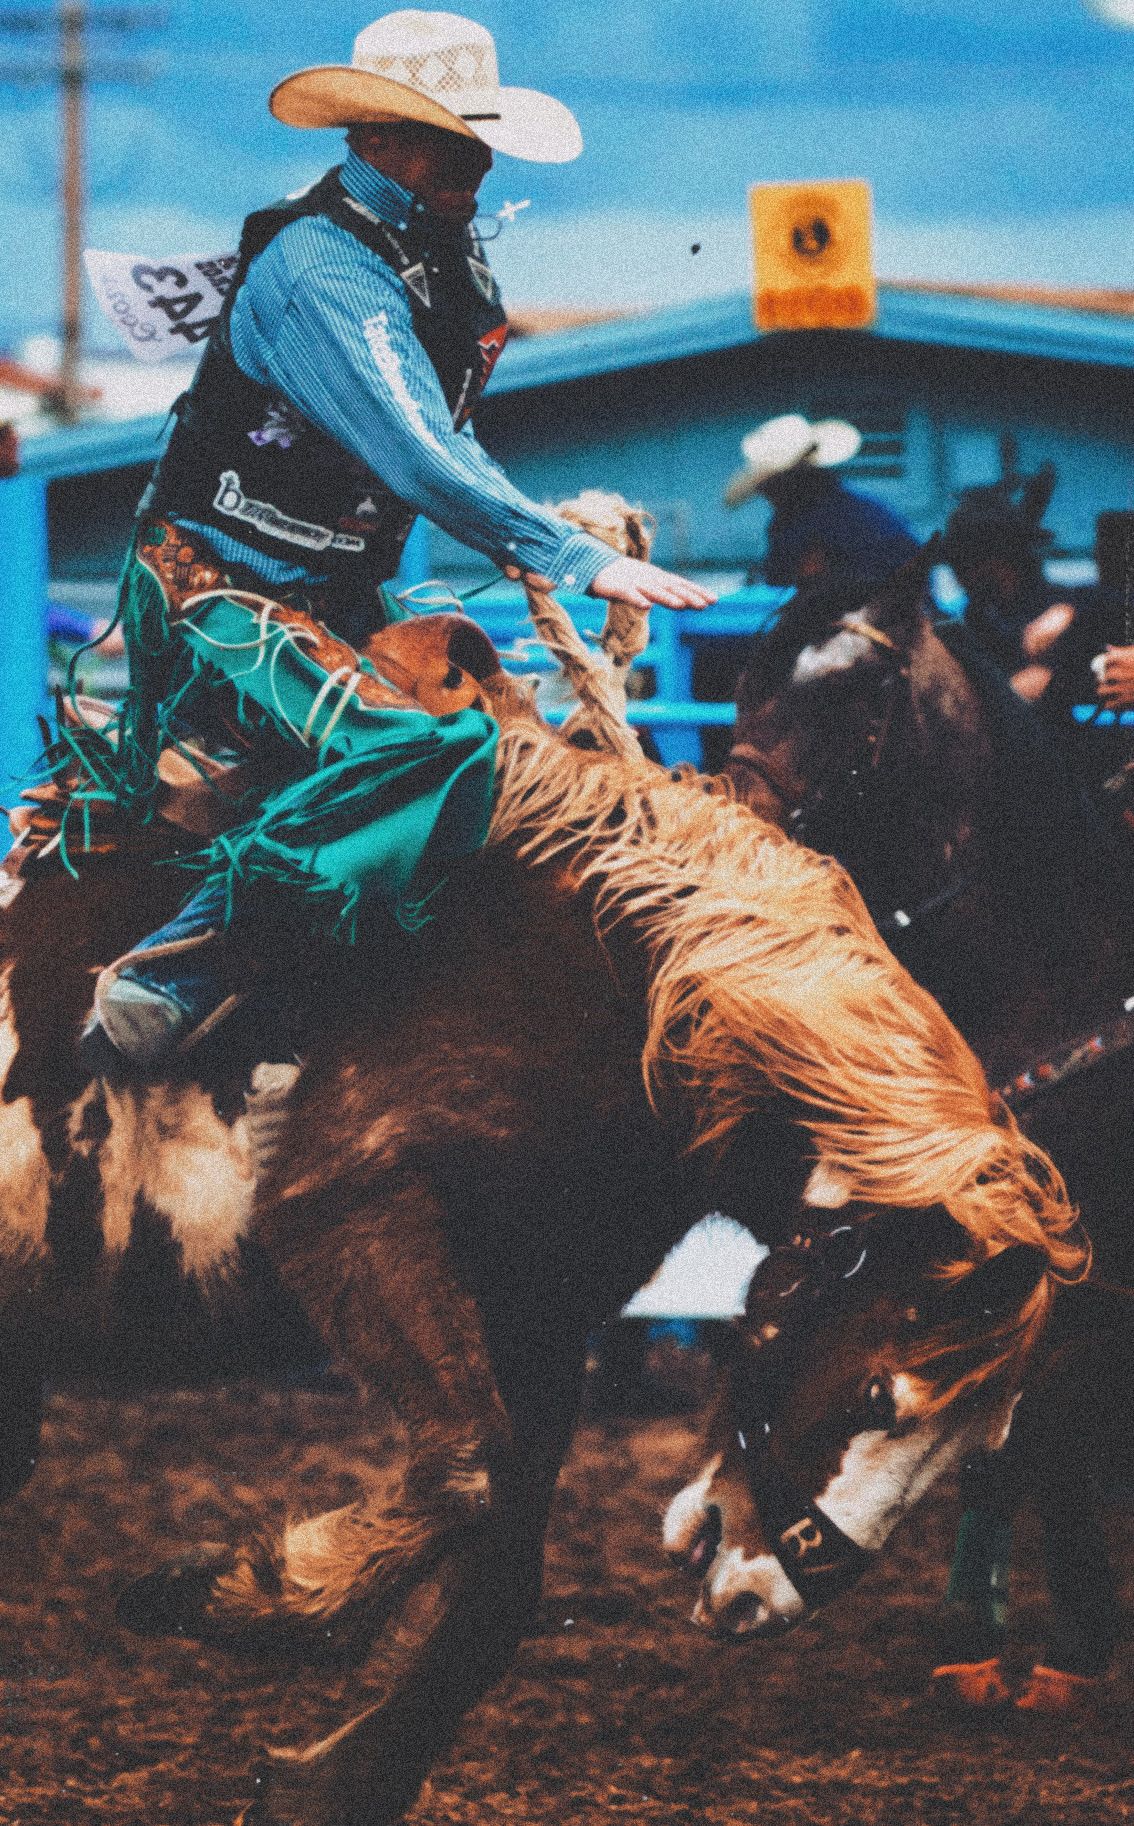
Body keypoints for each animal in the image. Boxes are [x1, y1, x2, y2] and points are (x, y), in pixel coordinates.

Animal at [0, 587, 1081, 1826]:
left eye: (984, 1441)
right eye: (874, 1392)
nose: (763, 1596)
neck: (637, 989)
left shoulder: (541, 1309)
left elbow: (500, 1575)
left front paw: (327, 1775)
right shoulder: (351, 1208)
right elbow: (466, 1468)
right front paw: (220, 1589)